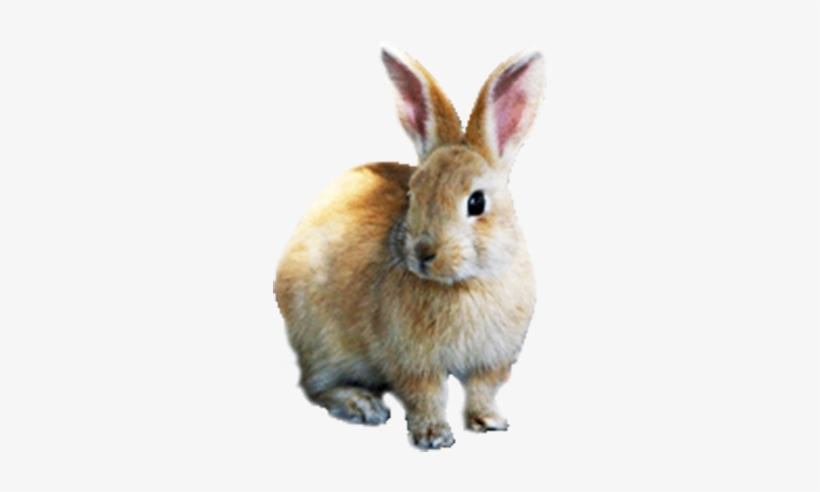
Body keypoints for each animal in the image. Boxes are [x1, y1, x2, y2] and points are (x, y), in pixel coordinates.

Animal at [274, 45, 545, 450]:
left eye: (477, 202)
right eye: (413, 194)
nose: (423, 253)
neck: (464, 285)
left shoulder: (491, 361)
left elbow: (481, 391)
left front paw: (490, 421)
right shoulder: (414, 362)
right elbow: (427, 396)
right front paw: (434, 437)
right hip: (323, 343)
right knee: (317, 385)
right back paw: (361, 404)